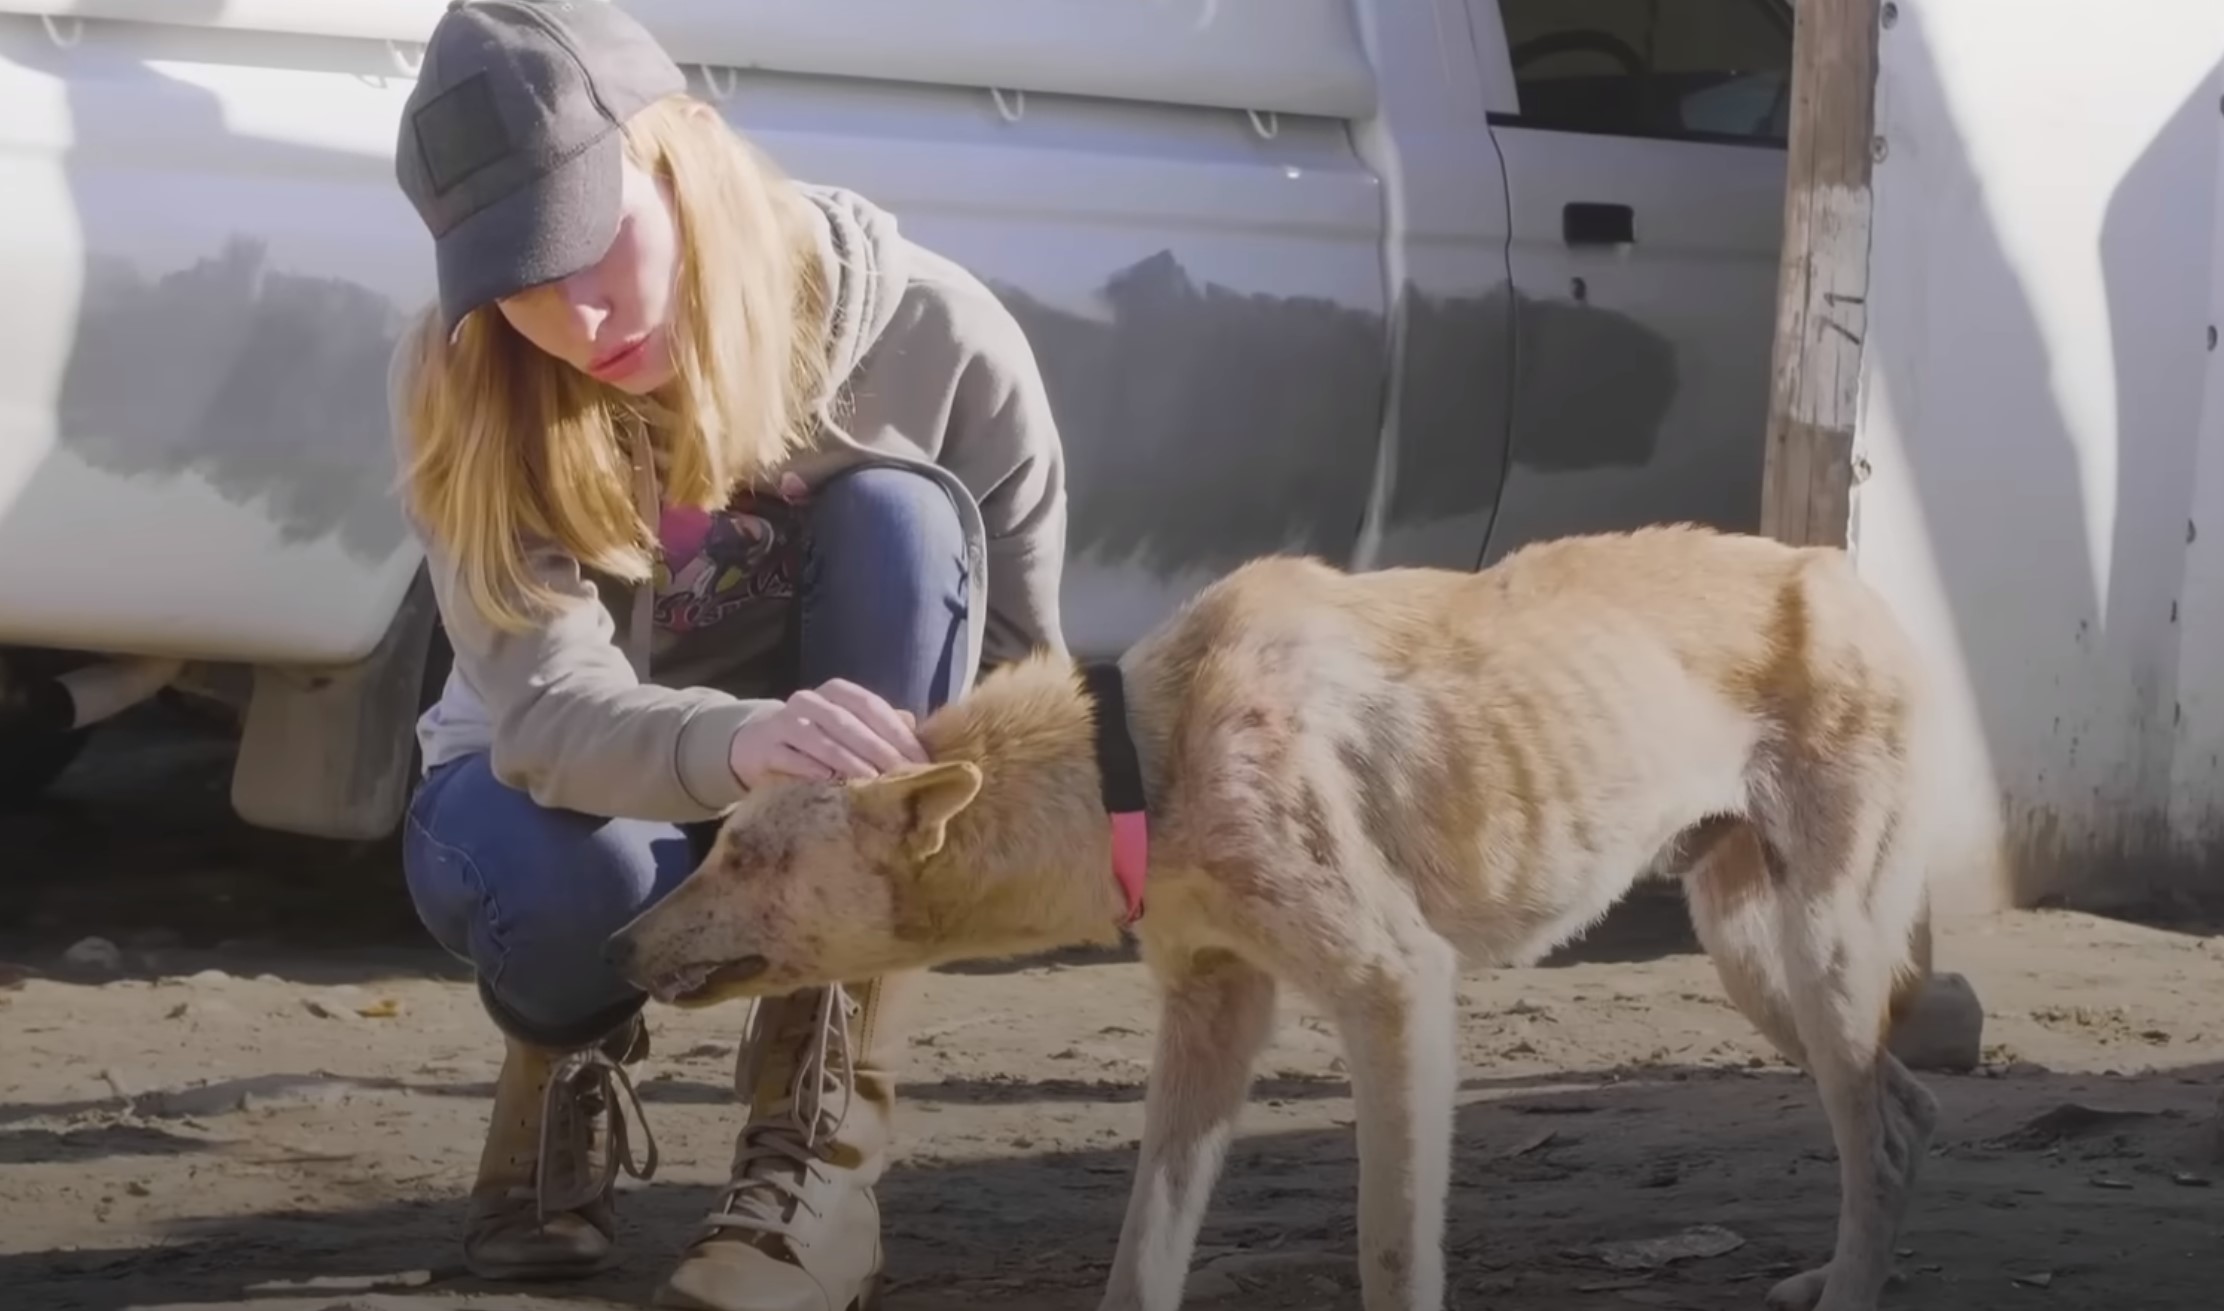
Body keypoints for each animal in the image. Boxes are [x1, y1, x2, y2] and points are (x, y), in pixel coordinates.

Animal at [604, 523, 1983, 1308]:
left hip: (1820, 953)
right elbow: (1142, 1257)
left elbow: (1391, 1255)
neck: (1141, 754)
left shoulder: (1396, 994)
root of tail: (1844, 573)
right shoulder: (1210, 1015)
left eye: (746, 852)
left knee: (1879, 1131)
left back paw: (1851, 1290)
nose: (615, 946)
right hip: (1755, 953)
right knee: (1904, 1118)